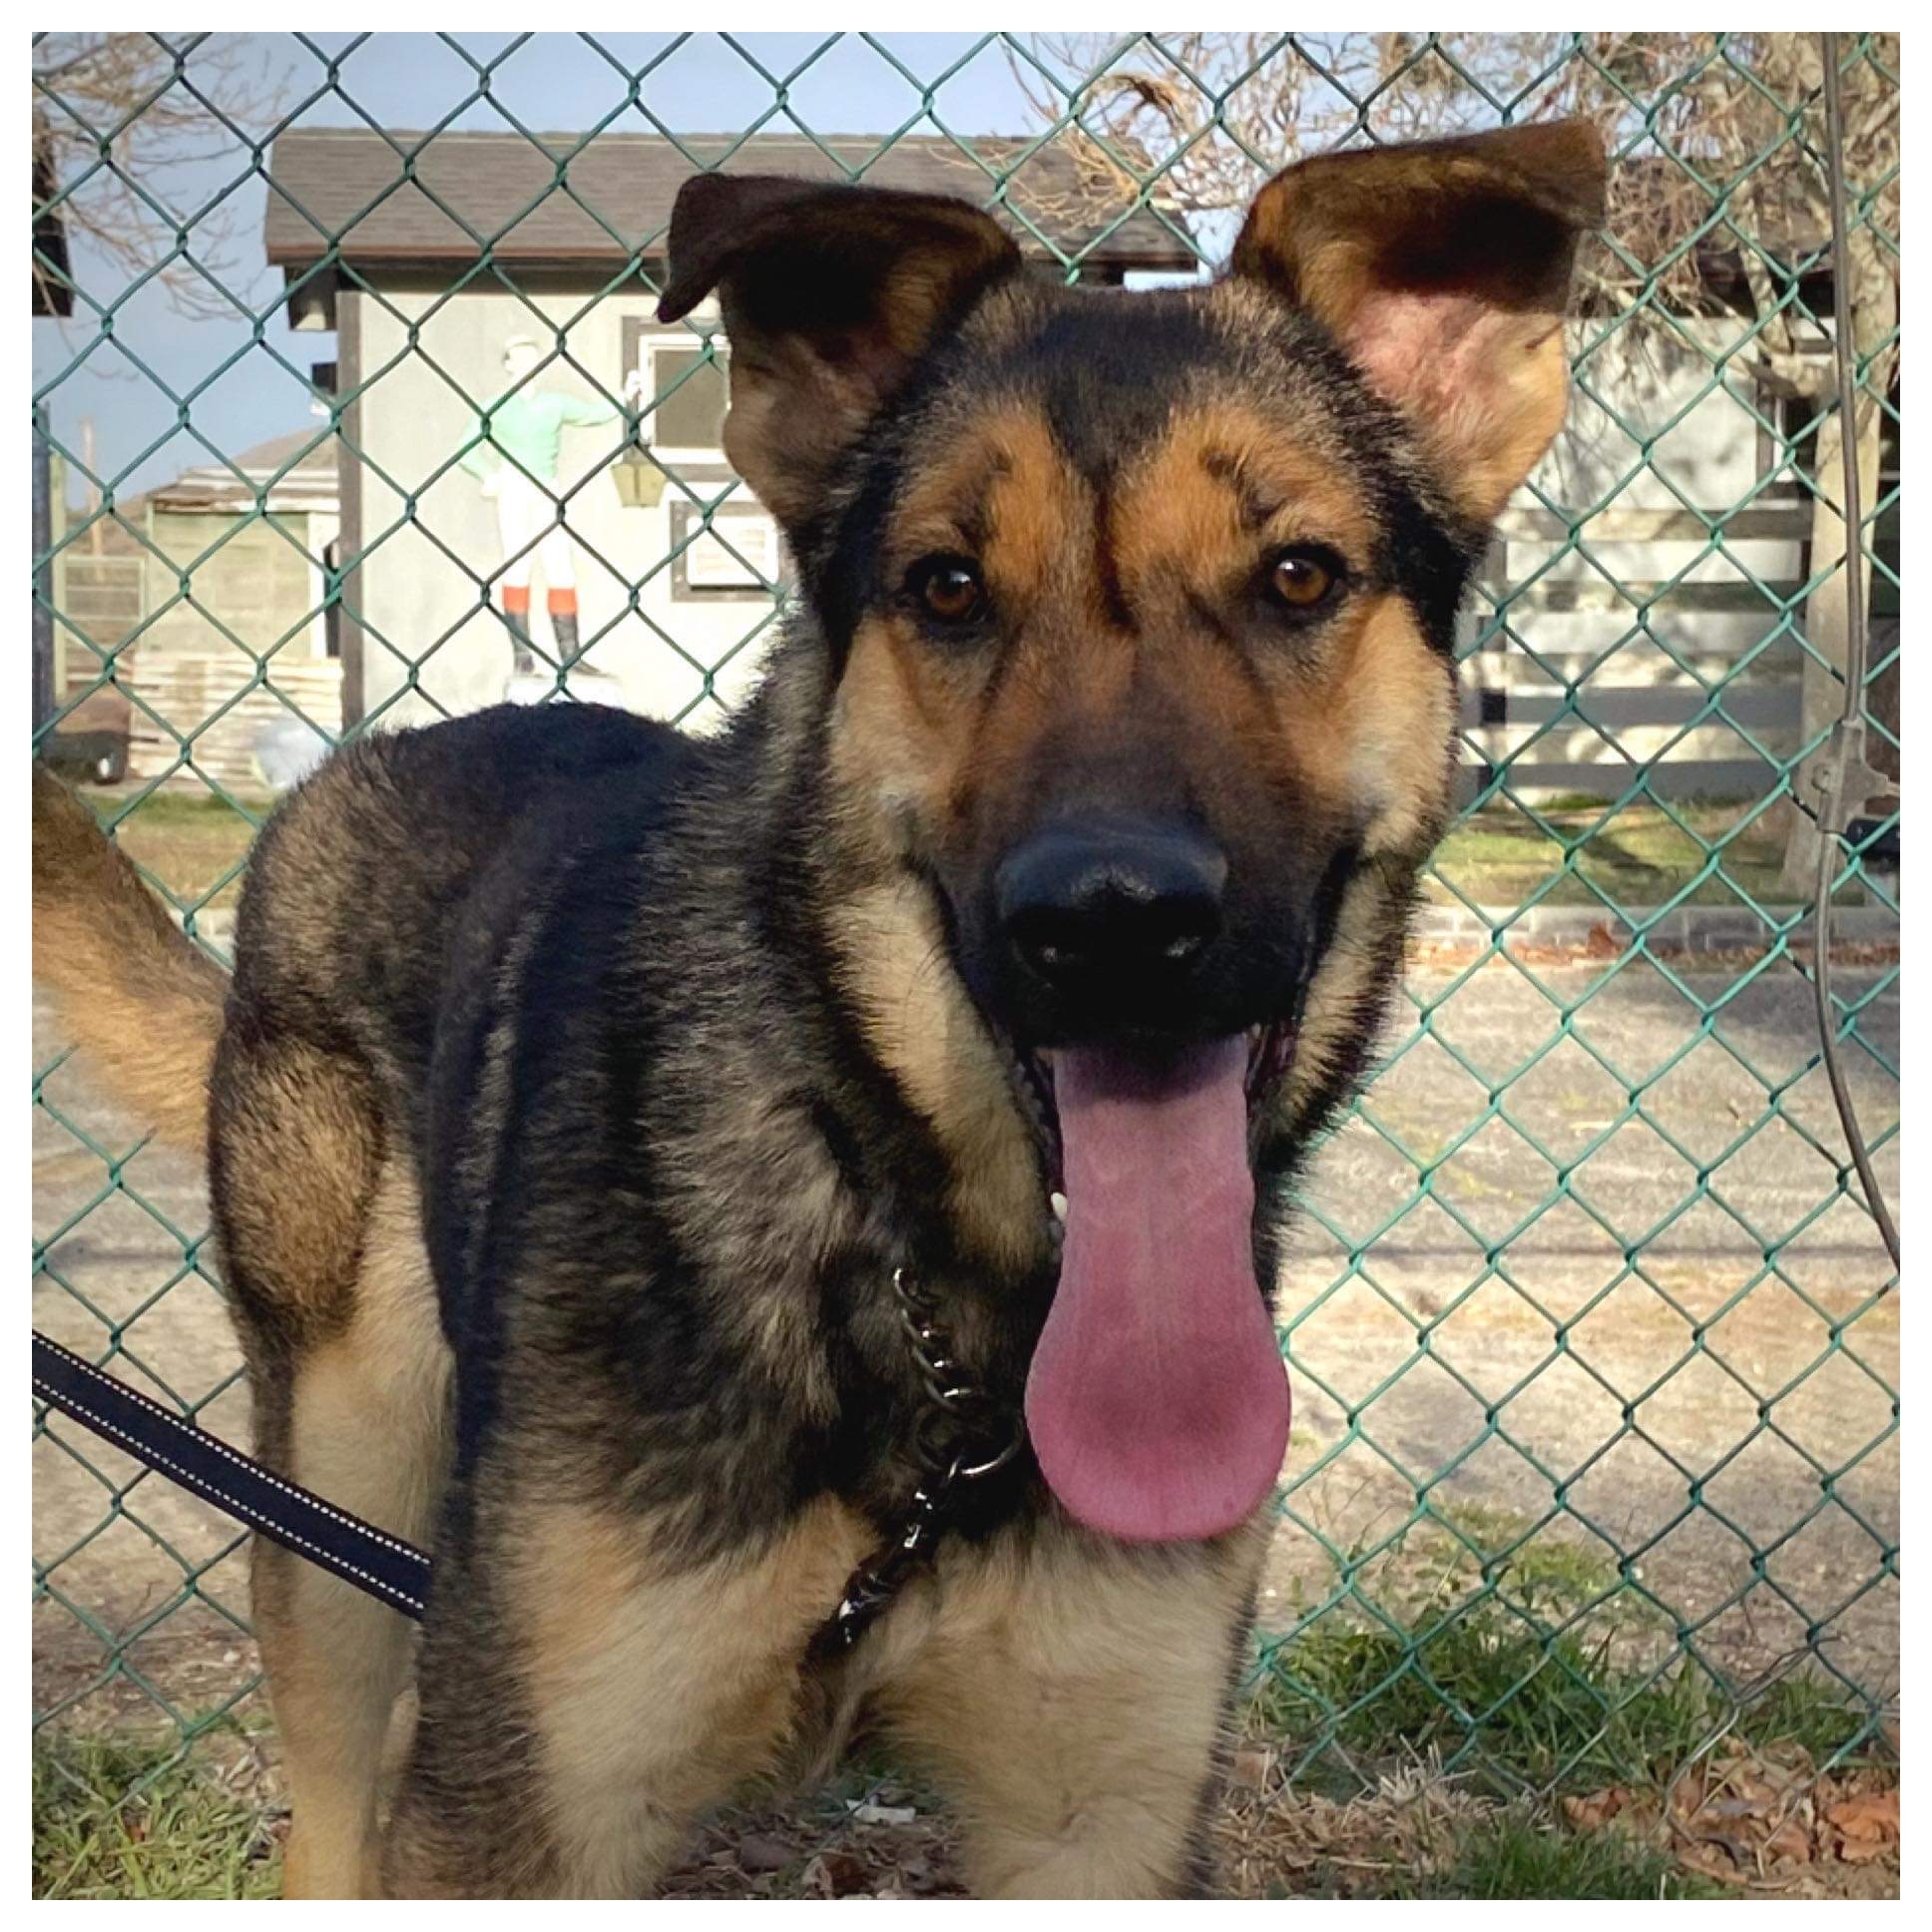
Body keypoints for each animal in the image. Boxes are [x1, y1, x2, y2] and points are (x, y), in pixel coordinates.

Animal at [34, 124, 1600, 1901]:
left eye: (1298, 576)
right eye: (947, 589)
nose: (1111, 922)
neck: (930, 1295)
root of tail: (345, 774)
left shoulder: (1103, 1819)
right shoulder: (521, 1814)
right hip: (337, 1489)